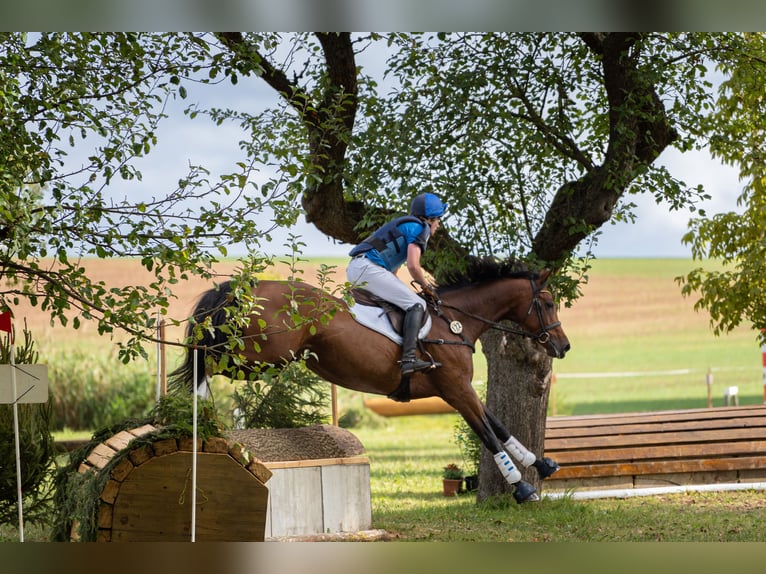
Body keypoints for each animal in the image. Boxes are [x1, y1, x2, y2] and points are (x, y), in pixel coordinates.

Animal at [168, 259, 571, 503]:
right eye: (549, 304)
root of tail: (246, 287)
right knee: (207, 358)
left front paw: (541, 465)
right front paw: (522, 487)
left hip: (262, 360)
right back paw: (194, 407)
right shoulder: (456, 389)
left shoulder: (455, 390)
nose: (563, 346)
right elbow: (488, 433)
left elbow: (497, 425)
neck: (454, 323)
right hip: (261, 358)